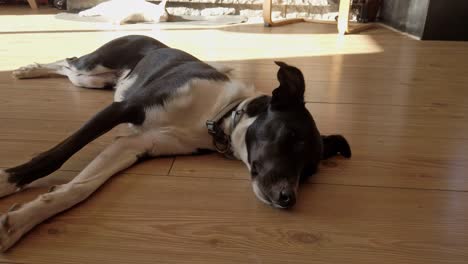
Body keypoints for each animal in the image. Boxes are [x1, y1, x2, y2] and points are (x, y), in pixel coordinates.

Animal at [0, 35, 352, 252]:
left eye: (309, 172)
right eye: (290, 137)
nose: (287, 198)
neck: (218, 114)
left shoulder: (134, 145)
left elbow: (79, 189)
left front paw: (20, 221)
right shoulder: (122, 109)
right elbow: (57, 155)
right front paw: (8, 181)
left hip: (93, 81)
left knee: (67, 68)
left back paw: (28, 69)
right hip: (93, 69)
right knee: (69, 60)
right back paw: (28, 69)